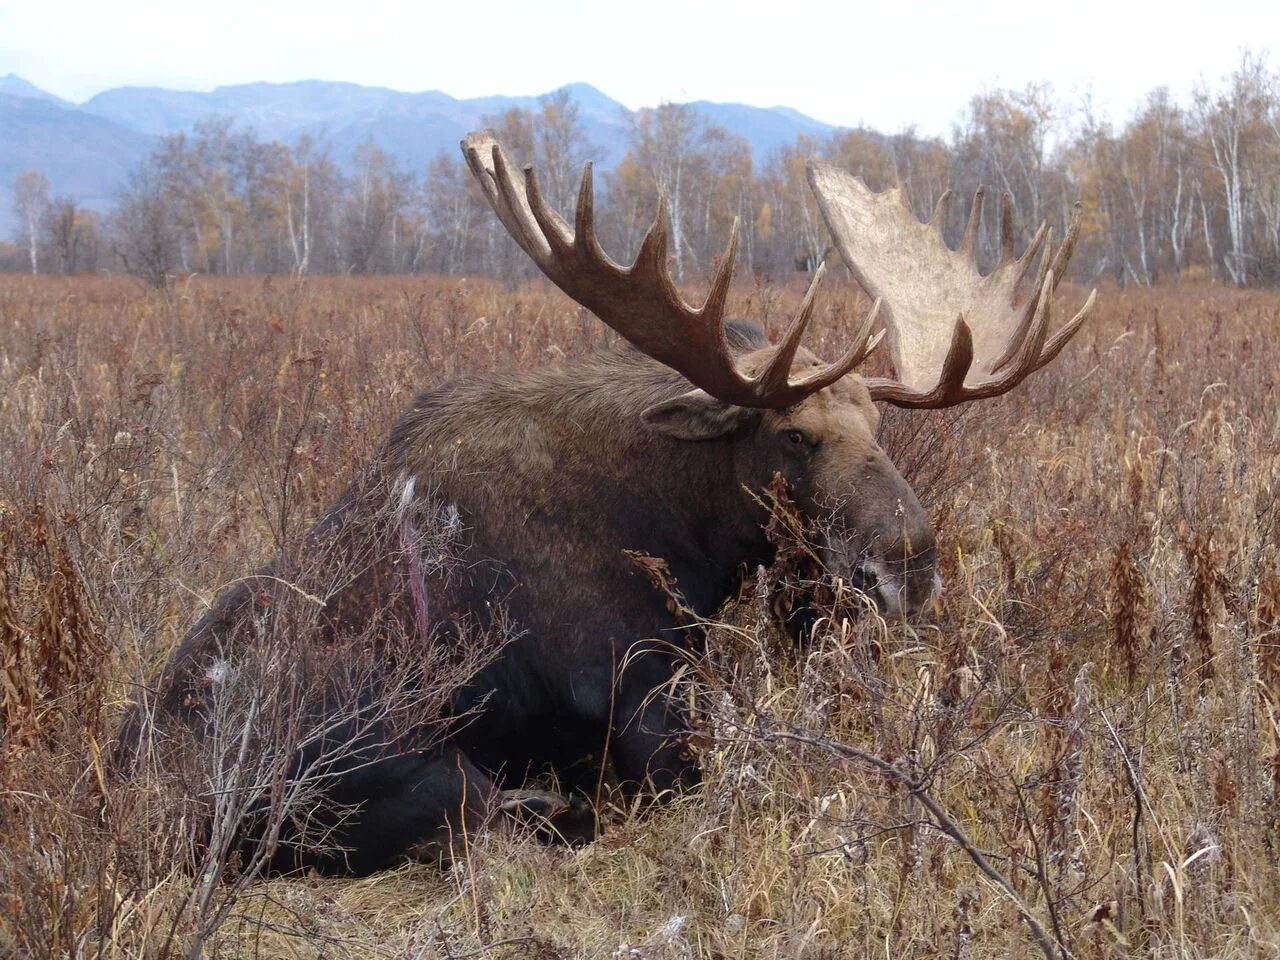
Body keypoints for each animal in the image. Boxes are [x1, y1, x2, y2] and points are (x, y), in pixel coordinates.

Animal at [124, 129, 1095, 880]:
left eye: (878, 423)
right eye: (793, 436)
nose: (910, 566)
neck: (681, 537)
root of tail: (149, 802)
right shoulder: (638, 698)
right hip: (404, 762)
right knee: (501, 818)